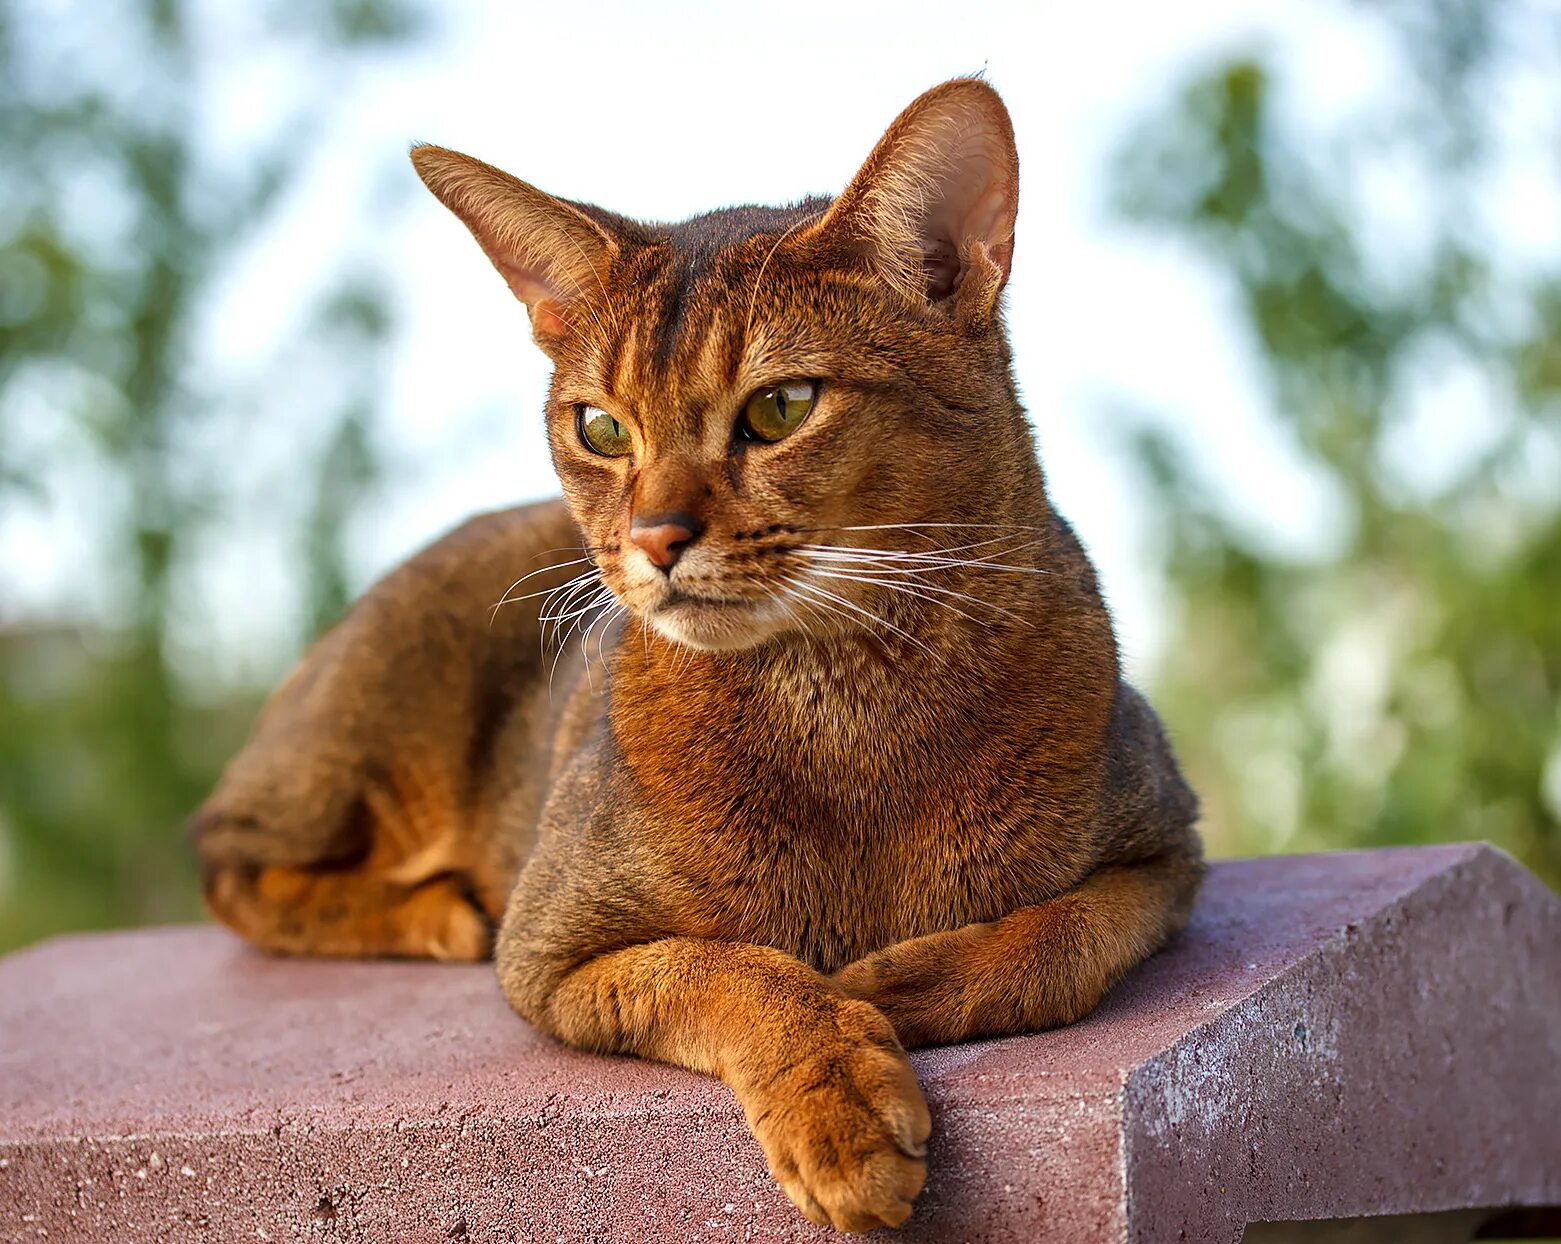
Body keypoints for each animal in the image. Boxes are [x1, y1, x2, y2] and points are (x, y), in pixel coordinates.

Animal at [188, 79, 1198, 1229]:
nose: (654, 538)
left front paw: (899, 984)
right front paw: (838, 1095)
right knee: (224, 856)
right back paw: (434, 910)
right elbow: (726, 969)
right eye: (600, 427)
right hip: (362, 742)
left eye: (780, 406)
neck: (846, 705)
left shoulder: (1168, 847)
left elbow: (1059, 937)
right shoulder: (552, 946)